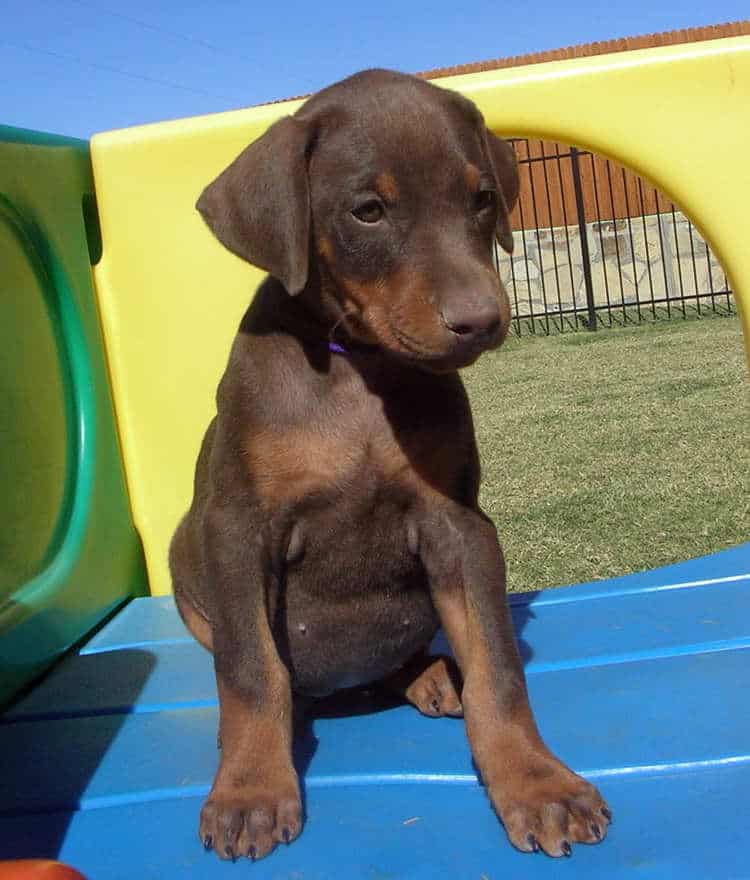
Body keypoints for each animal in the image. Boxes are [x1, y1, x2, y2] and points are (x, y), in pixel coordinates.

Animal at [170, 67, 612, 860]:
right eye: (368, 212)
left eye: (481, 198)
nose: (483, 321)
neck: (358, 366)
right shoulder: (237, 528)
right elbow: (252, 670)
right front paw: (250, 789)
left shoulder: (458, 525)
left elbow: (498, 669)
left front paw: (536, 784)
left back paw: (434, 677)